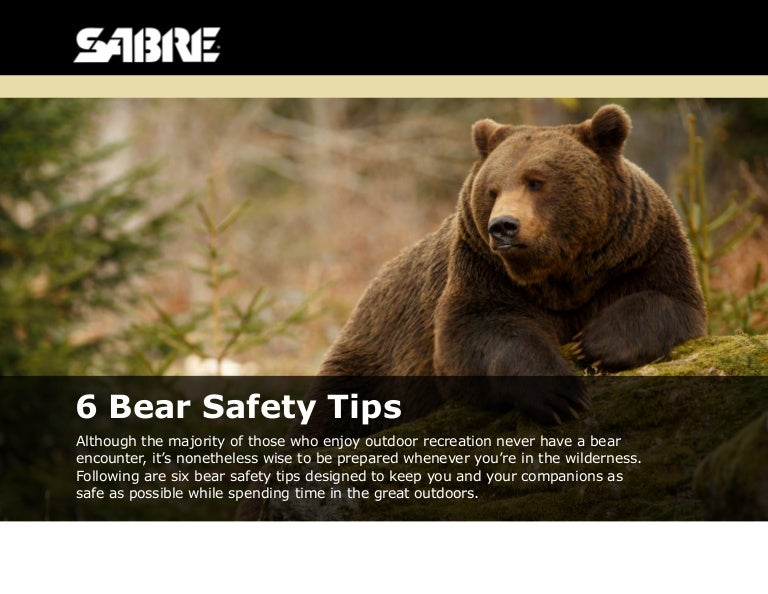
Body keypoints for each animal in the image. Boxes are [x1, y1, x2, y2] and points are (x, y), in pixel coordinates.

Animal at [305, 104, 707, 432]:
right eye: (492, 189)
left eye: (536, 181)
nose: (503, 227)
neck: (563, 273)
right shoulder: (484, 270)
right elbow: (479, 332)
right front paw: (562, 394)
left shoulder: (639, 251)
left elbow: (670, 302)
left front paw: (594, 342)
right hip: (374, 358)